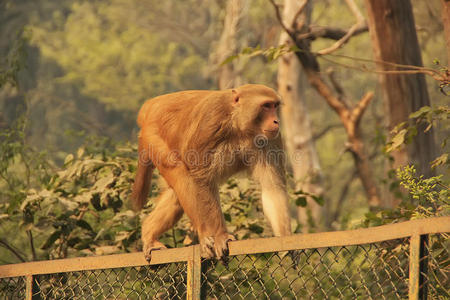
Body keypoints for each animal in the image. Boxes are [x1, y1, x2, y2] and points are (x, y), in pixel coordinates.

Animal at [130, 84, 292, 262]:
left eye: (275, 106)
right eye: (266, 106)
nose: (276, 121)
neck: (239, 125)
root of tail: (151, 105)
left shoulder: (271, 140)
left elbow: (272, 187)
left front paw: (286, 238)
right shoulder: (210, 124)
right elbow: (202, 180)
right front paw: (221, 235)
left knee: (176, 195)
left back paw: (149, 233)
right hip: (154, 137)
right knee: (181, 174)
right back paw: (204, 234)